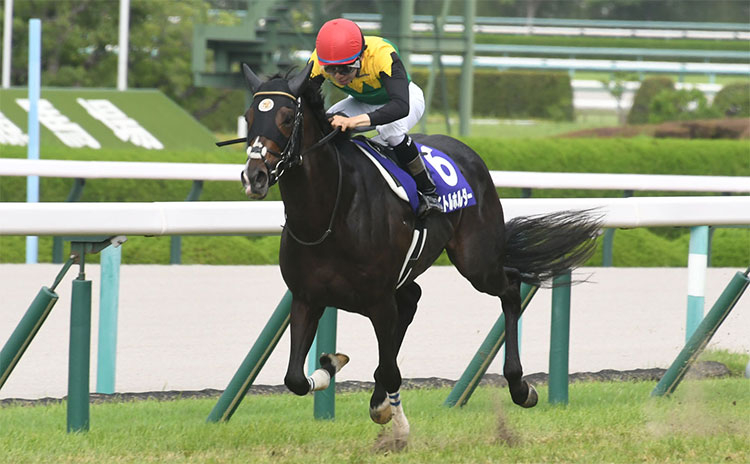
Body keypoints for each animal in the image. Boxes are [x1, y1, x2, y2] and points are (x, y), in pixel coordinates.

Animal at [236, 61, 601, 443]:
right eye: (249, 117)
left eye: (287, 118)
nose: (254, 176)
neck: (329, 213)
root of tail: (466, 151)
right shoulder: (307, 297)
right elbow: (294, 377)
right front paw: (330, 366)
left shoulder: (379, 301)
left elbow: (390, 368)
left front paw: (395, 424)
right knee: (412, 300)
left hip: (477, 261)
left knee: (510, 289)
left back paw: (519, 386)